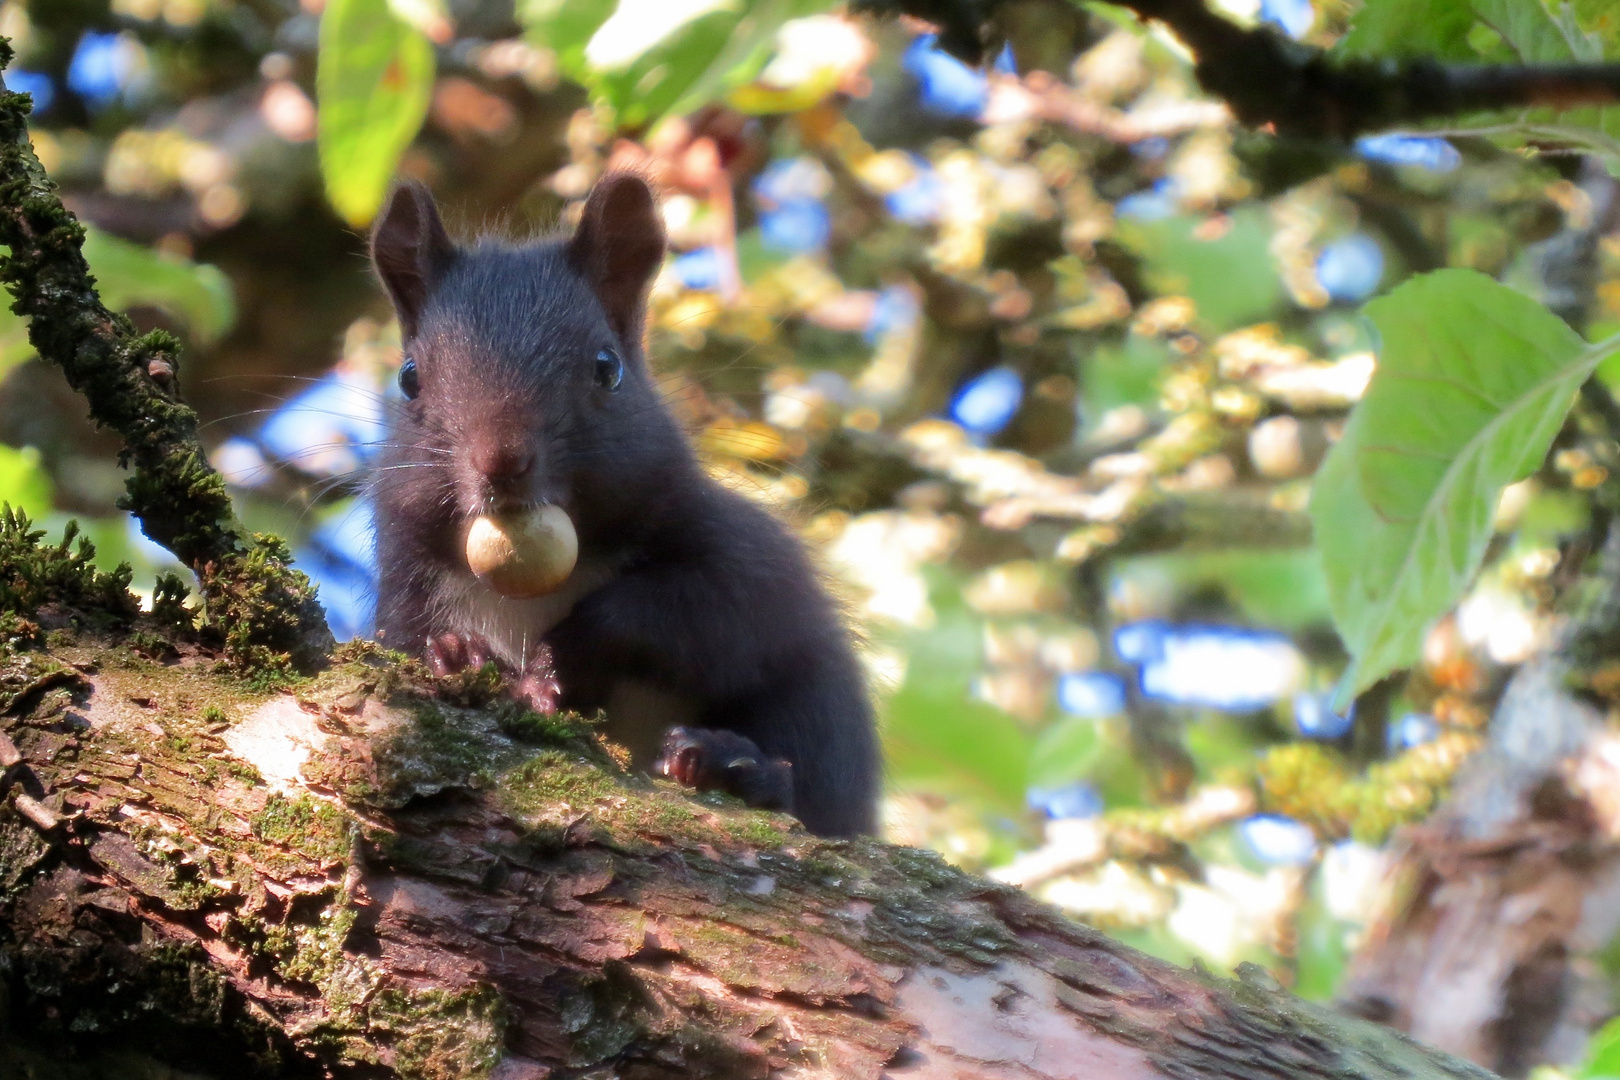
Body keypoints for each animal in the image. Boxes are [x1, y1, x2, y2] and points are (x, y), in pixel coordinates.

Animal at [369, 173, 881, 841]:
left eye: (607, 368)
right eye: (410, 378)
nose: (501, 463)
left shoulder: (742, 552)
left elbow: (713, 609)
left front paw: (562, 656)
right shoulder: (407, 578)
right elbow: (404, 638)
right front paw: (455, 654)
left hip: (823, 701)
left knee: (816, 771)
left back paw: (734, 767)